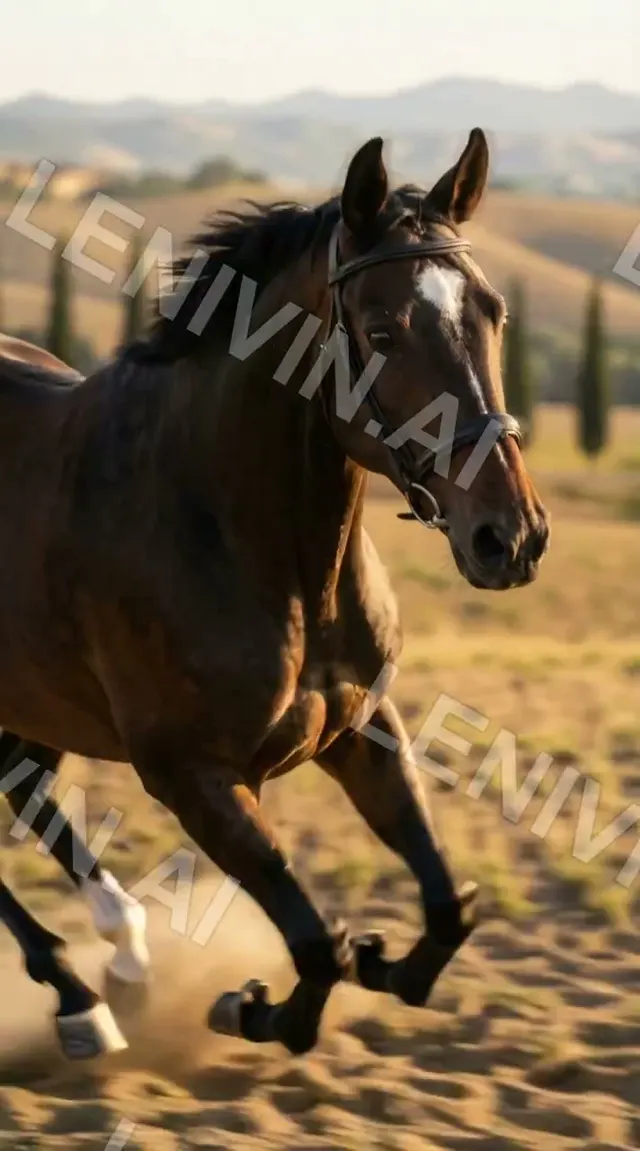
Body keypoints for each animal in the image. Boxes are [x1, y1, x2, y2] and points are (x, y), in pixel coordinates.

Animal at [0, 127, 549, 1057]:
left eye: (492, 311)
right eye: (381, 329)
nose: (509, 537)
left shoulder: (361, 729)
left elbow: (448, 906)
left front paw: (384, 962)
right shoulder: (193, 777)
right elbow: (314, 943)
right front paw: (249, 1007)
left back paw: (120, 960)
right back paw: (83, 997)